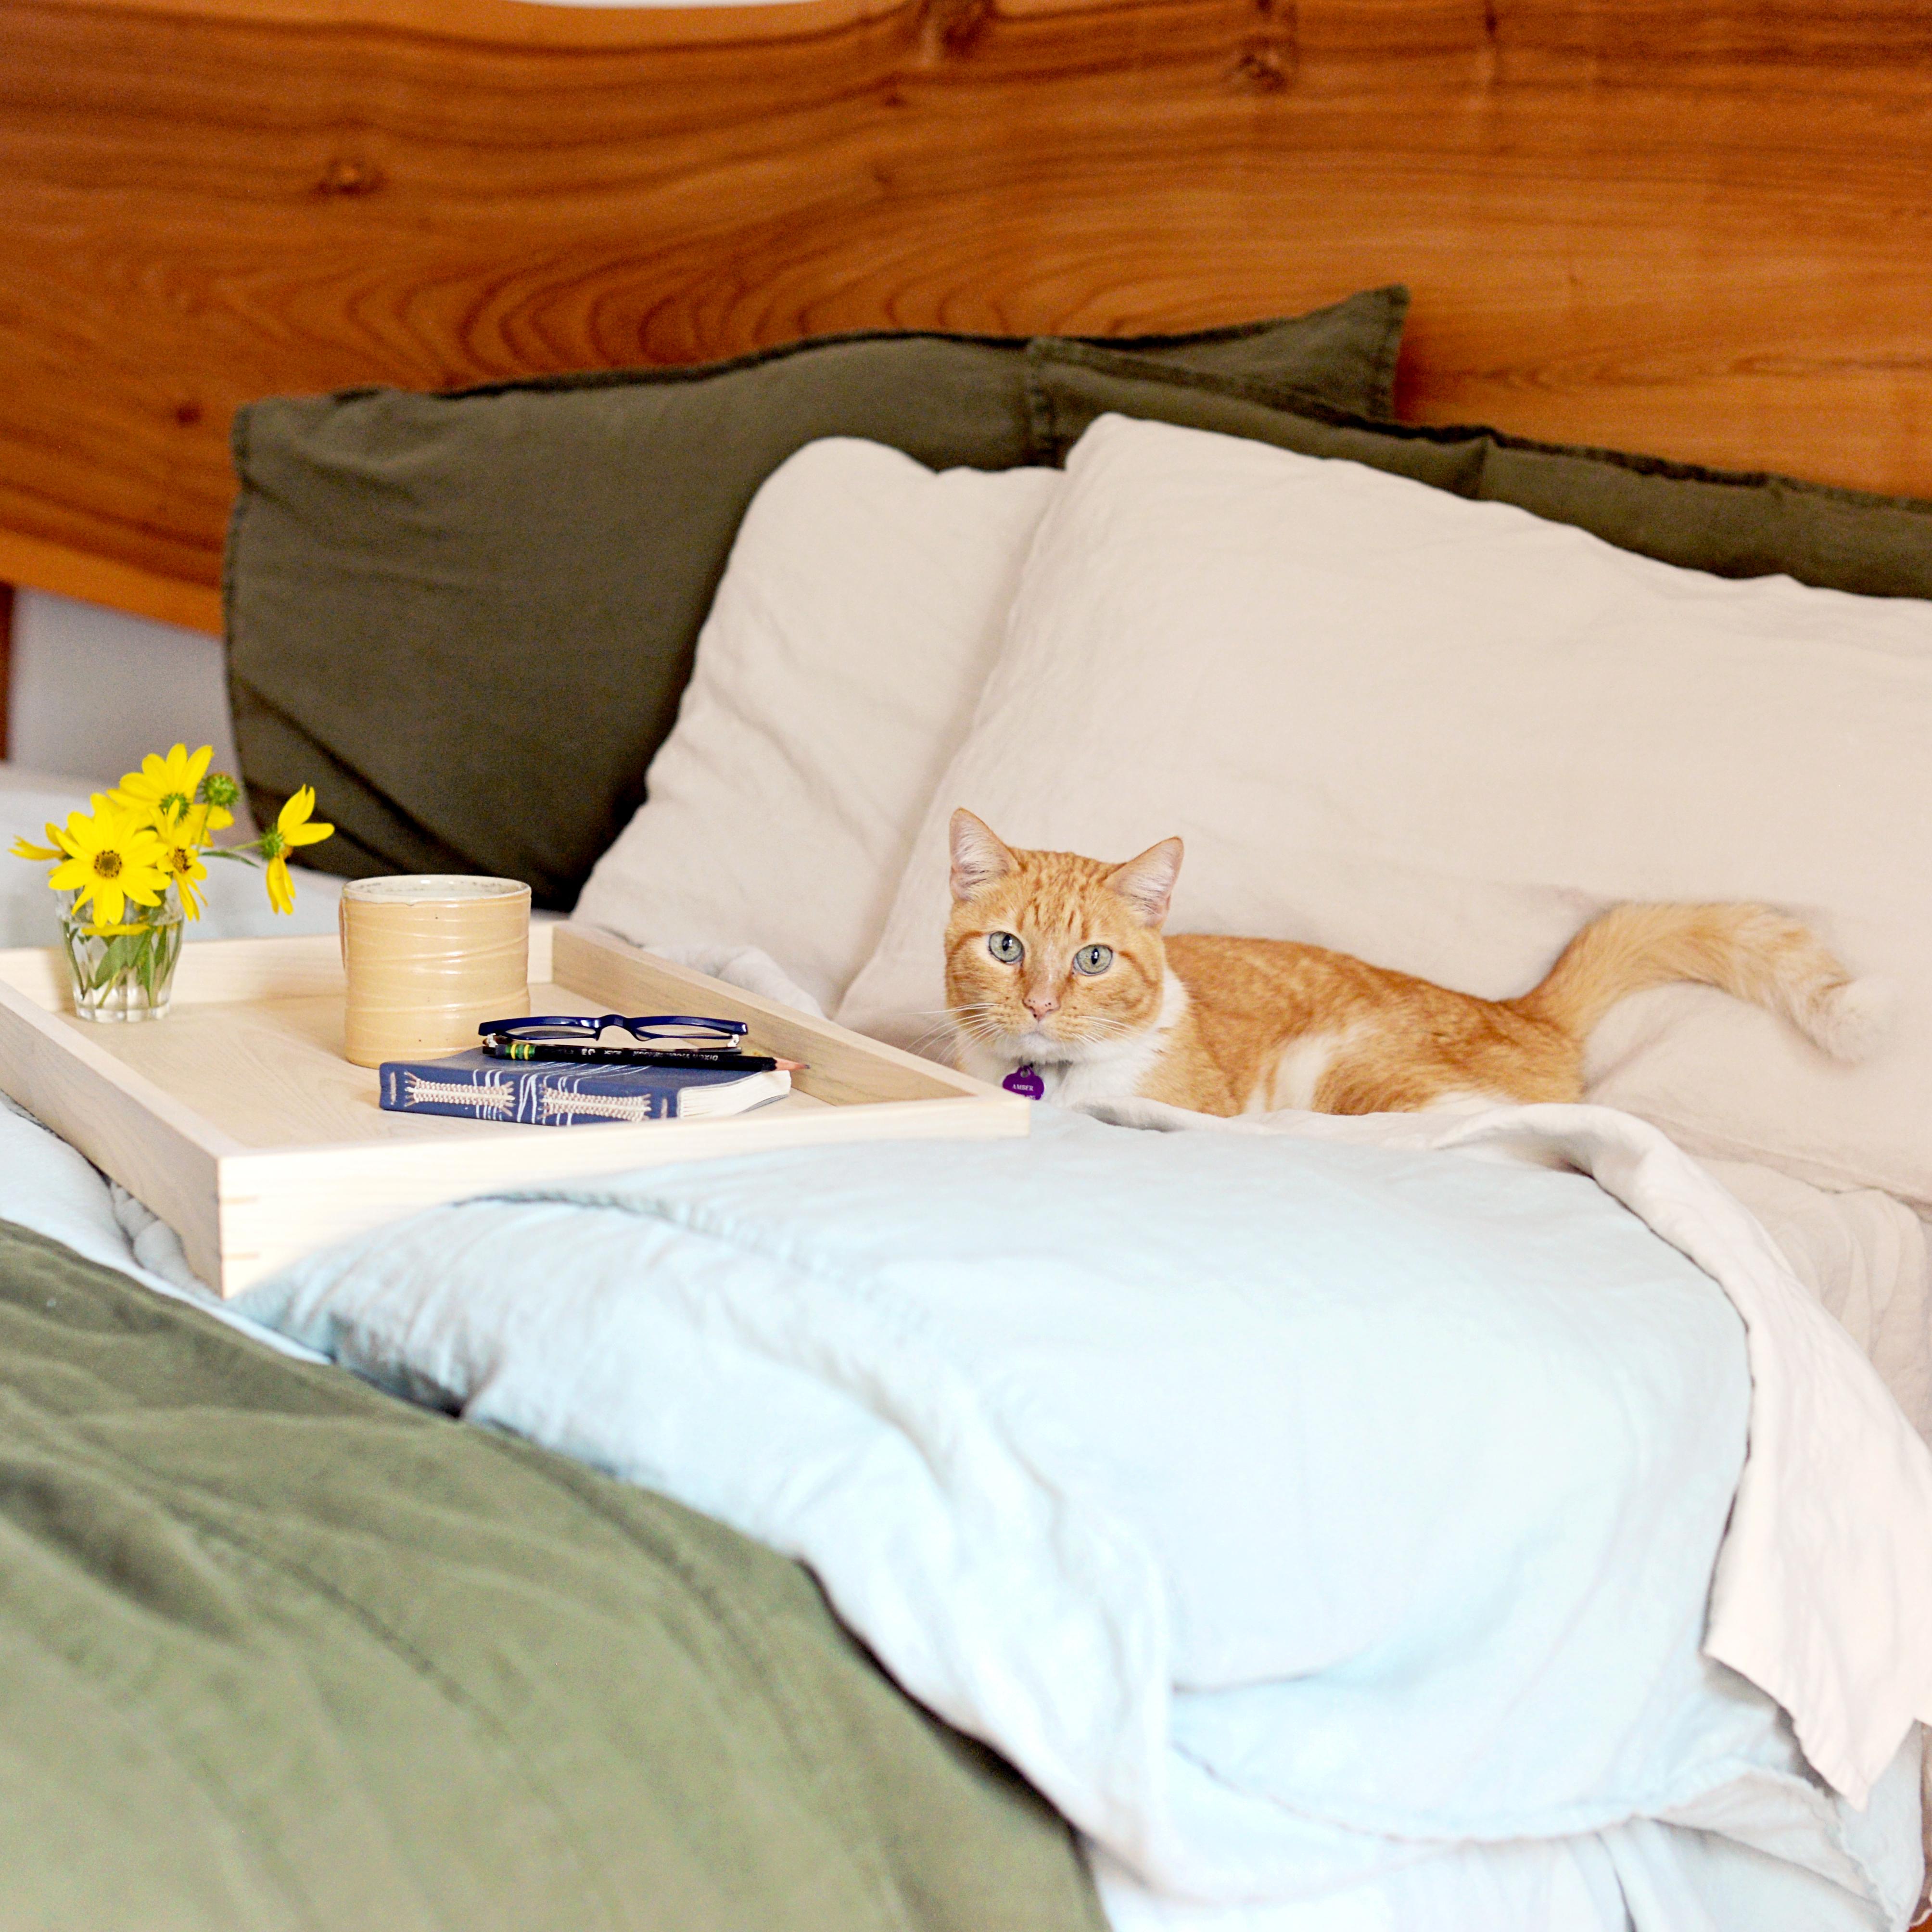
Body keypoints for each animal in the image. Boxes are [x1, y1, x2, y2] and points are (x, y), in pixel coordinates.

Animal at [942, 807, 1878, 1120]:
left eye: (1094, 959)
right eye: (1007, 947)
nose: (1040, 1004)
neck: (1052, 1082)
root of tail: (1523, 1009)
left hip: (1356, 1077)